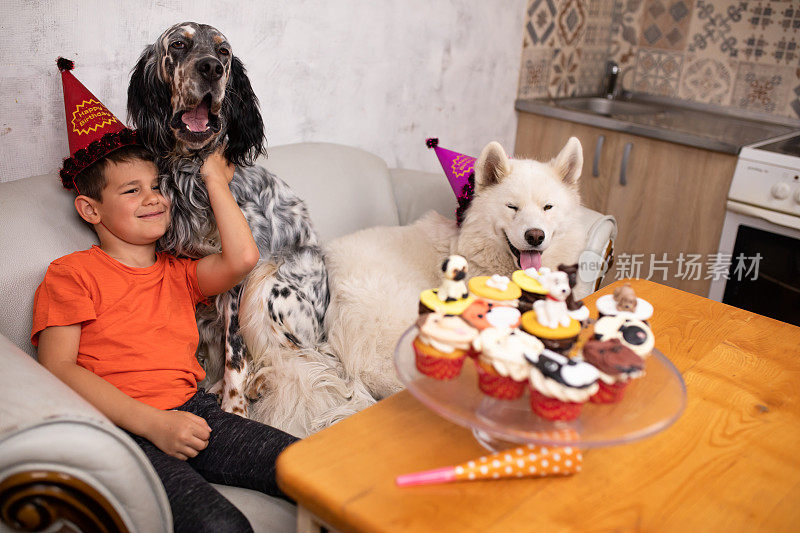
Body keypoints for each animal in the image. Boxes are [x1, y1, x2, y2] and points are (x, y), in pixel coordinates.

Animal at [127, 21, 372, 436]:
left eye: (224, 52)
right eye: (178, 44)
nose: (211, 68)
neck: (191, 173)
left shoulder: (240, 279)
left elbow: (234, 353)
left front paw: (235, 407)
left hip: (272, 288)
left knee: (308, 361)